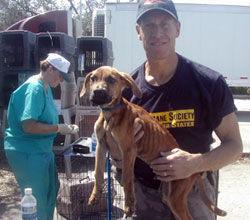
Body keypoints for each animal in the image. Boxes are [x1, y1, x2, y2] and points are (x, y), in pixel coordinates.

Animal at [80, 66, 227, 220]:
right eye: (93, 78)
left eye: (112, 80)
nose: (98, 92)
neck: (110, 114)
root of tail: (194, 173)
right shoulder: (101, 146)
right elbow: (98, 173)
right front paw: (95, 196)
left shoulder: (128, 149)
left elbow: (127, 180)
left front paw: (129, 205)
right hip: (169, 194)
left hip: (177, 195)